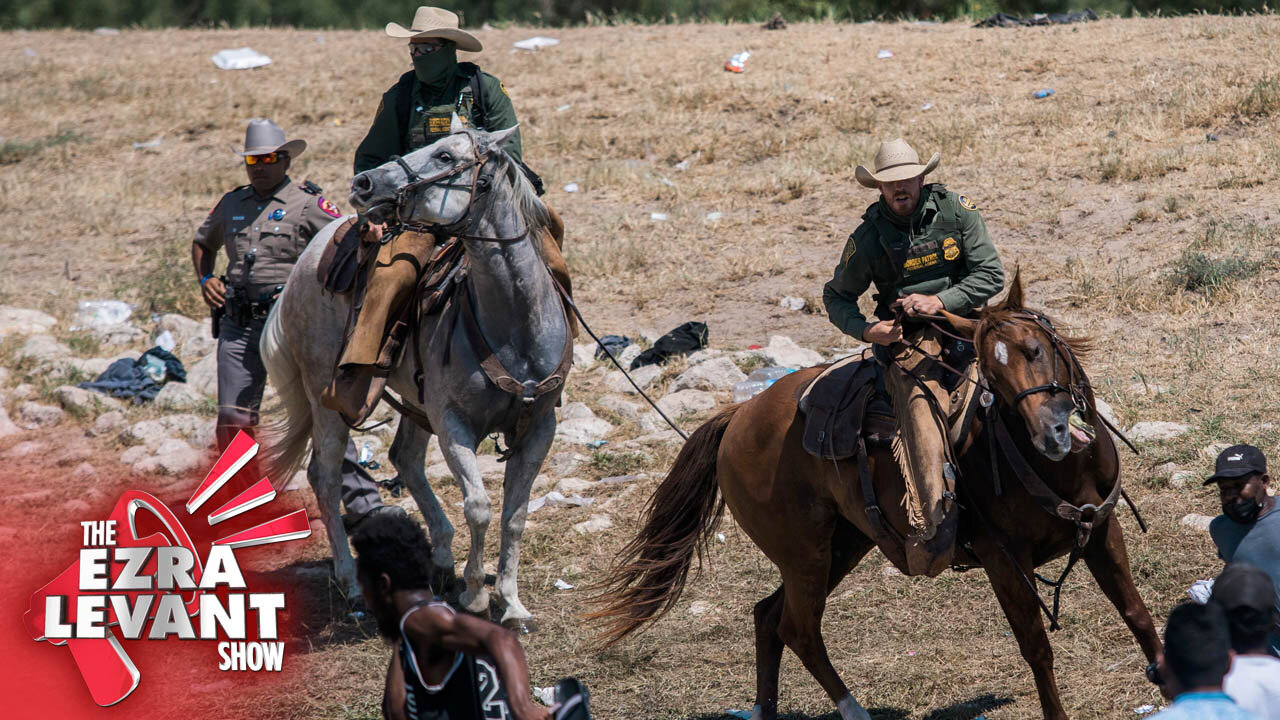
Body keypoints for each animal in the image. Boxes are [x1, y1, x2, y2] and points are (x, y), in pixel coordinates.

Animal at [259, 120, 570, 625]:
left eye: (445, 156)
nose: (364, 183)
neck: (514, 325)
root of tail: (307, 259)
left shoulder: (540, 426)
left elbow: (516, 514)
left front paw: (511, 602)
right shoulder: (453, 423)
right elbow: (480, 506)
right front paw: (476, 595)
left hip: (415, 399)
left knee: (404, 457)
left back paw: (441, 558)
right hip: (327, 396)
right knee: (325, 476)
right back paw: (351, 583)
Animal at [593, 272, 1167, 717]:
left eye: (1036, 349)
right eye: (993, 376)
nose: (1051, 434)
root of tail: (737, 418)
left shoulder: (1101, 530)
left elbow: (1137, 613)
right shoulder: (1005, 561)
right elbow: (1036, 647)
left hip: (843, 545)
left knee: (768, 617)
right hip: (805, 555)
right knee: (798, 628)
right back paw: (854, 711)